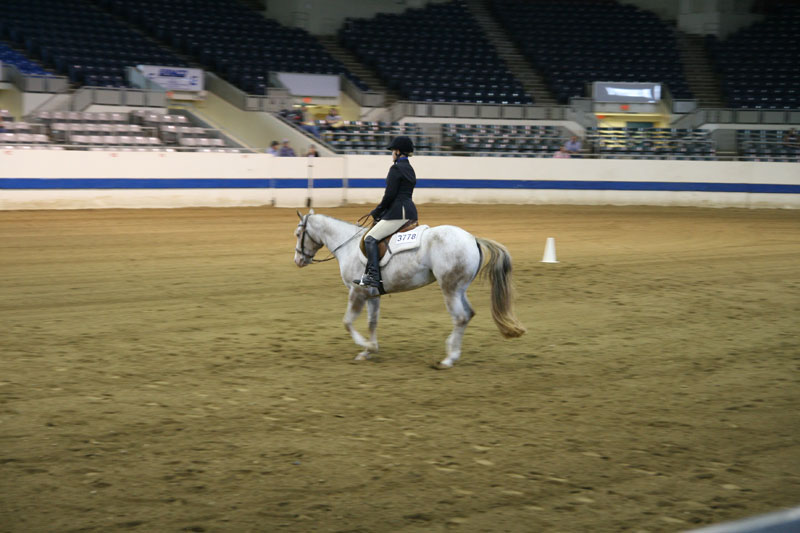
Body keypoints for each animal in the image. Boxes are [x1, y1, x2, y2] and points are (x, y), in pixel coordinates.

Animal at [294, 210, 524, 368]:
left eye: (298, 234)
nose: (298, 260)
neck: (348, 246)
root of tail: (472, 238)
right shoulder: (372, 295)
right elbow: (372, 322)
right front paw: (369, 351)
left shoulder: (357, 292)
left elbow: (347, 322)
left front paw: (365, 346)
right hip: (459, 288)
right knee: (468, 315)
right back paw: (453, 352)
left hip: (449, 288)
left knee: (460, 317)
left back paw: (448, 359)